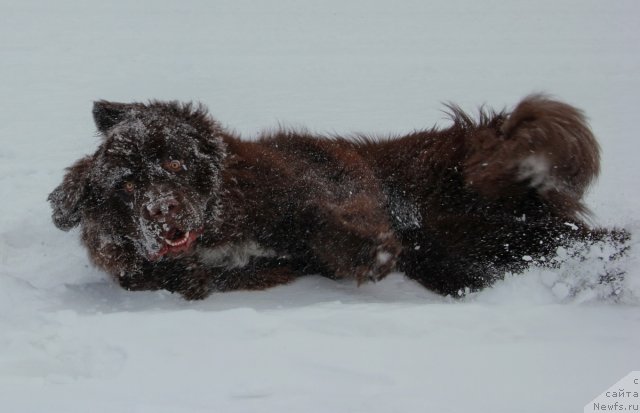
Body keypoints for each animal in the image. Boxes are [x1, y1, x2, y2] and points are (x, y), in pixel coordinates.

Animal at [47, 95, 628, 298]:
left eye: (175, 162)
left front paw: (372, 253)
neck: (224, 223)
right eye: (126, 186)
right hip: (483, 251)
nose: (163, 214)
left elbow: (323, 216)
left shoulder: (326, 180)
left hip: (477, 191)